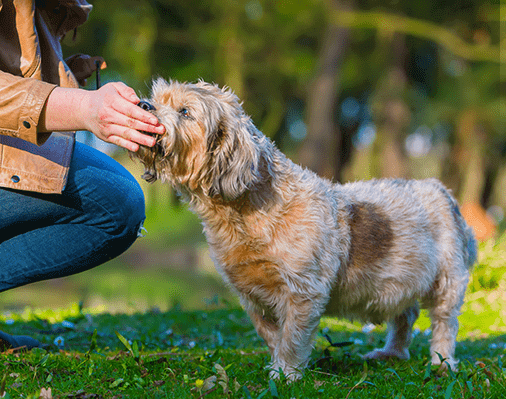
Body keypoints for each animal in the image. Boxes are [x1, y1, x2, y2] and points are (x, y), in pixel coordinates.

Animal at [131, 78, 478, 382]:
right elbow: (272, 334)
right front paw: (280, 363)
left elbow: (292, 336)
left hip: (447, 282)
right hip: (401, 282)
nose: (143, 105)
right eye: (157, 99)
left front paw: (286, 373)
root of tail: (441, 190)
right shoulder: (251, 295)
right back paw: (392, 353)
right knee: (405, 316)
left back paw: (442, 363)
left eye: (185, 111)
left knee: (443, 324)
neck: (244, 214)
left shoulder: (302, 292)